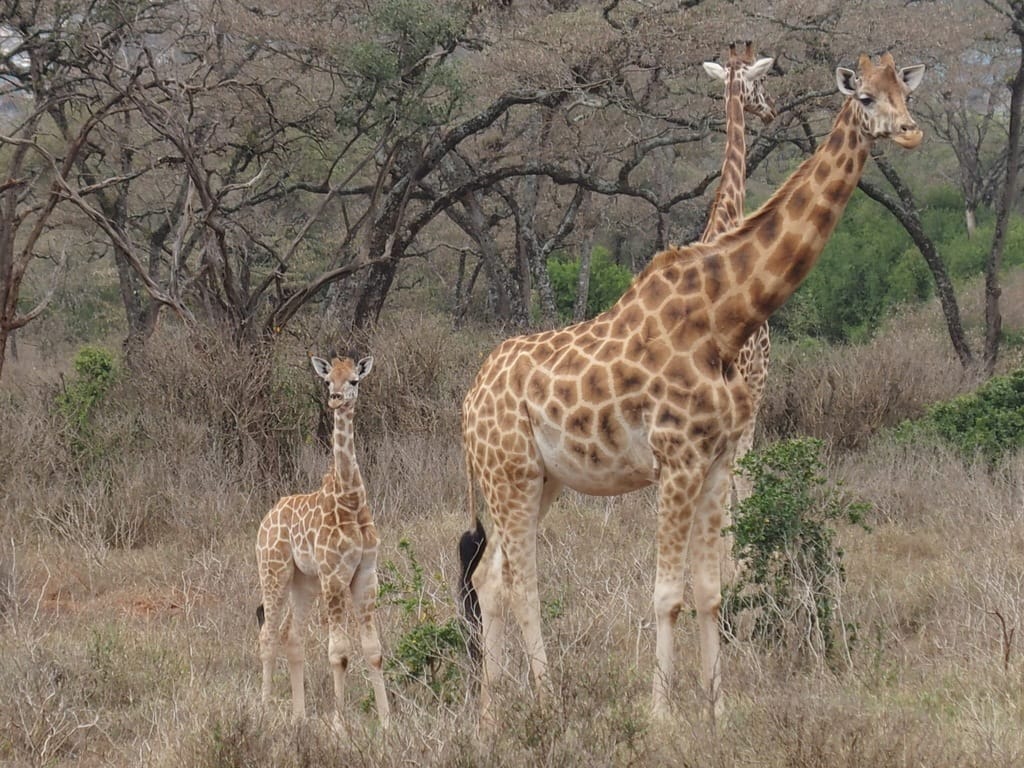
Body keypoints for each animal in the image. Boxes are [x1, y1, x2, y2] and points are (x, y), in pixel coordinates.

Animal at [253, 354, 389, 729]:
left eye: (354, 380)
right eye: (328, 381)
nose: (336, 399)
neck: (351, 501)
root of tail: (266, 518)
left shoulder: (365, 575)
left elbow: (373, 651)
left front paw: (387, 722)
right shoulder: (334, 576)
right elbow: (339, 654)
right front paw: (339, 726)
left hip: (304, 582)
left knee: (292, 636)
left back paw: (300, 717)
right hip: (274, 571)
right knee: (268, 635)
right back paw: (264, 713)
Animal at [460, 54, 925, 729]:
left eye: (906, 93)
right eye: (865, 96)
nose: (912, 132)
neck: (726, 315)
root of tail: (467, 403)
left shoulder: (717, 460)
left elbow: (709, 590)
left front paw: (718, 708)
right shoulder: (677, 461)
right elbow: (666, 594)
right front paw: (660, 713)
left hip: (539, 480)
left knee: (490, 578)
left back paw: (492, 709)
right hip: (510, 475)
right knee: (521, 581)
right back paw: (545, 704)